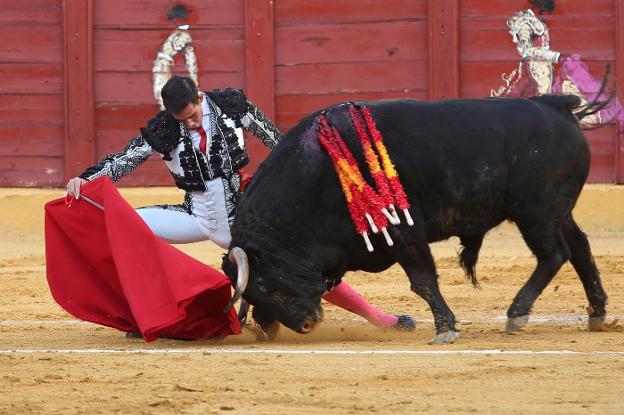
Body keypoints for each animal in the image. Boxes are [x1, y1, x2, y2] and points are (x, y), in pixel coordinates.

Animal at [222, 96, 608, 346]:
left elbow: (422, 281)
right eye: (253, 291)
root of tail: (555, 106)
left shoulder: (403, 233)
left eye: (265, 284)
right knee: (579, 247)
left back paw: (518, 313)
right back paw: (597, 312)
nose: (307, 323)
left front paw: (445, 328)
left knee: (554, 254)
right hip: (556, 211)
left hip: (536, 210)